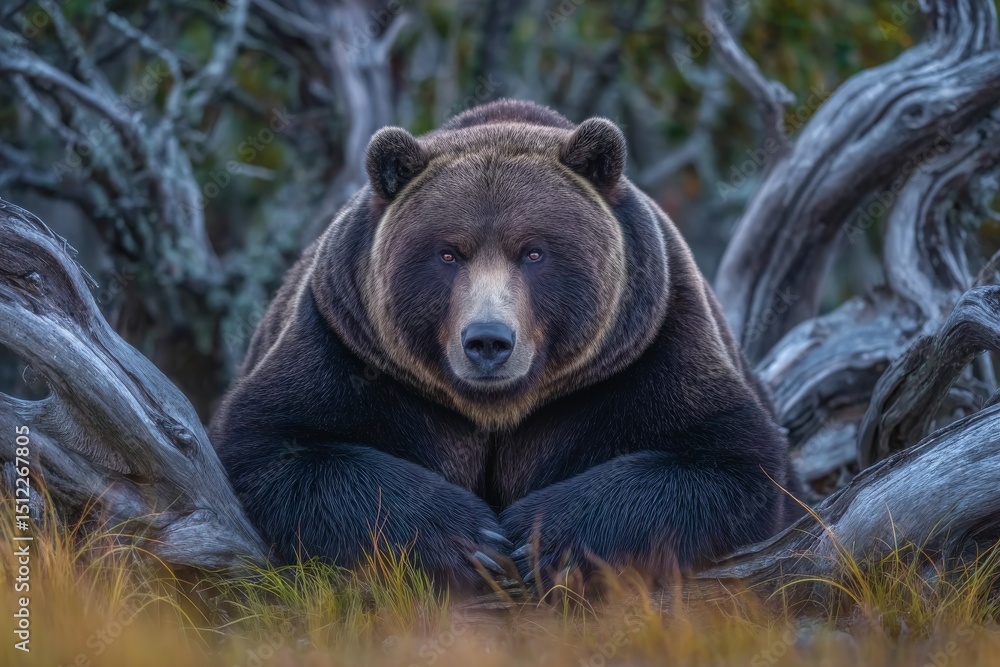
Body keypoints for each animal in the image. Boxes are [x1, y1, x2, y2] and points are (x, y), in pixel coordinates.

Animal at [209, 98, 795, 592]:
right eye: (449, 253)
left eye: (533, 252)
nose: (488, 340)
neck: (497, 409)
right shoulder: (346, 343)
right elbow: (279, 443)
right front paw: (475, 541)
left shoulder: (649, 348)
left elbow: (727, 460)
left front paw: (539, 539)